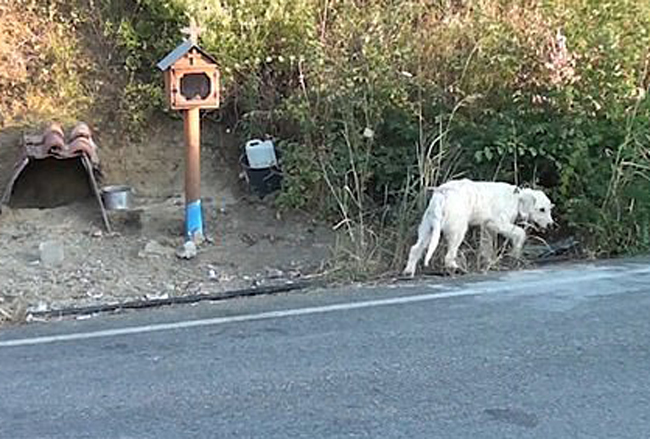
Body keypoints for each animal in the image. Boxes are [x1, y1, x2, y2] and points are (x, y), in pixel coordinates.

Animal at [404, 178, 552, 276]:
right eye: (542, 209)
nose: (551, 225)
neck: (516, 198)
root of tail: (442, 194)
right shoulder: (498, 223)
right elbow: (520, 233)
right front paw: (515, 254)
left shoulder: (487, 227)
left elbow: (486, 247)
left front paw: (489, 263)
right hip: (457, 230)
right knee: (449, 256)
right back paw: (456, 268)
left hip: (428, 228)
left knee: (415, 249)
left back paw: (408, 271)